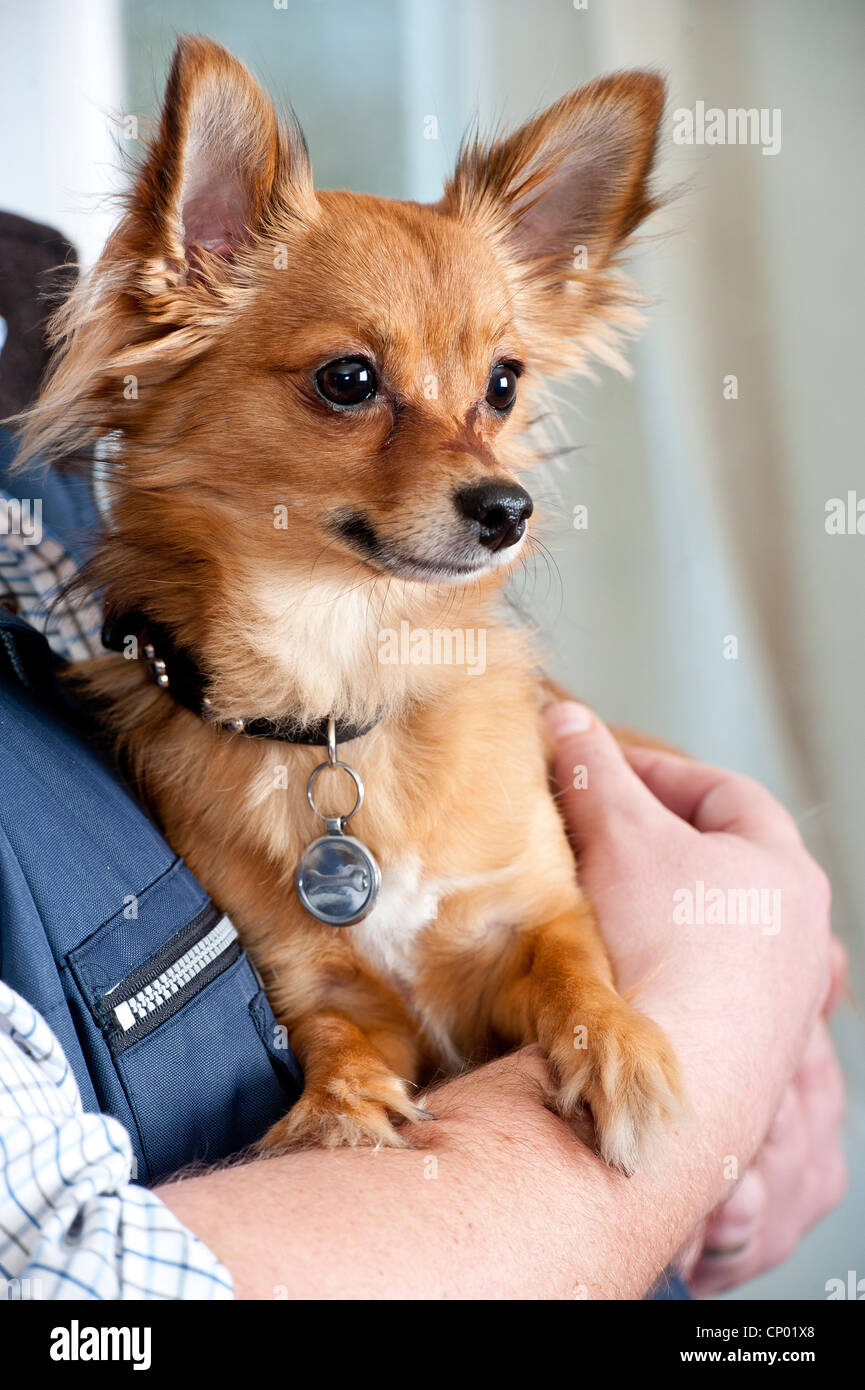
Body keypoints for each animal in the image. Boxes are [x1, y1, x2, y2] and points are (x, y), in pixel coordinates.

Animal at [18, 35, 684, 1173]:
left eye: (503, 384)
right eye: (347, 378)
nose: (507, 508)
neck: (341, 673)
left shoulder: (528, 919)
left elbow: (575, 966)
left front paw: (620, 1049)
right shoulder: (315, 985)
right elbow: (338, 1039)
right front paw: (339, 1108)